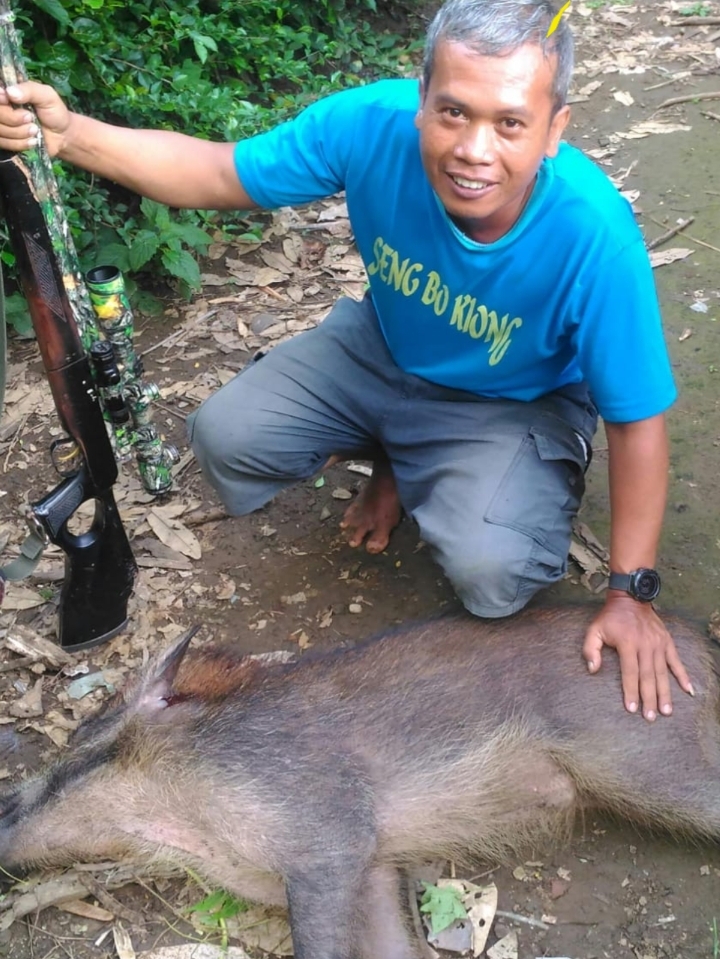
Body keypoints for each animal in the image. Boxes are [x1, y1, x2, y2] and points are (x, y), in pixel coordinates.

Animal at [2, 604, 720, 959]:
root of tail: (703, 644)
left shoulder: (328, 836)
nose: (7, 804)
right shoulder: (372, 866)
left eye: (84, 744)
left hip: (652, 761)